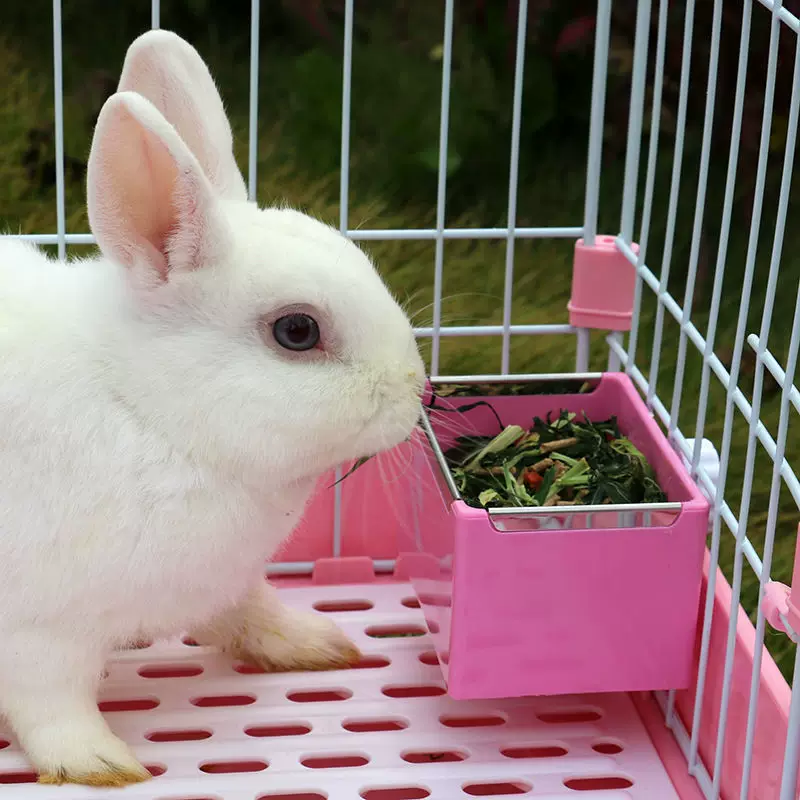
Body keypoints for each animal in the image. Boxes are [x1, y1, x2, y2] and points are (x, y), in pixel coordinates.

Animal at [0, 30, 424, 788]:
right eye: (297, 331)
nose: (417, 387)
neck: (147, 411)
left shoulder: (228, 583)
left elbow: (251, 614)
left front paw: (315, 643)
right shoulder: (37, 634)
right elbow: (51, 708)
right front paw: (101, 764)